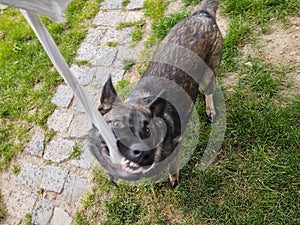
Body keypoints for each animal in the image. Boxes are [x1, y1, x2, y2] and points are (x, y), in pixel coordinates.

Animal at [90, 0, 224, 188]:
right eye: (116, 124)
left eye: (147, 129)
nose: (139, 151)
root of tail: (202, 14)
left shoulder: (175, 147)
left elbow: (173, 167)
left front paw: (173, 179)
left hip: (208, 76)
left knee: (209, 92)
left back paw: (210, 109)